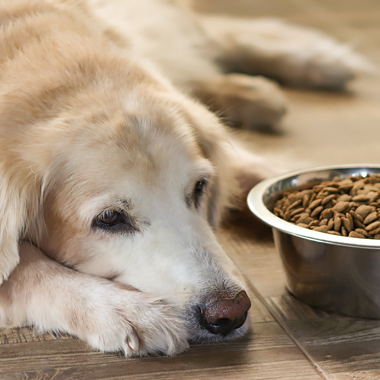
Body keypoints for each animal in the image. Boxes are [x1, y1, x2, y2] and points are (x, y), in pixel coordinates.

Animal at [0, 0, 370, 356]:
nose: (230, 312)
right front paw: (126, 310)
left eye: (199, 187)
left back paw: (313, 62)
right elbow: (23, 269)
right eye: (109, 218)